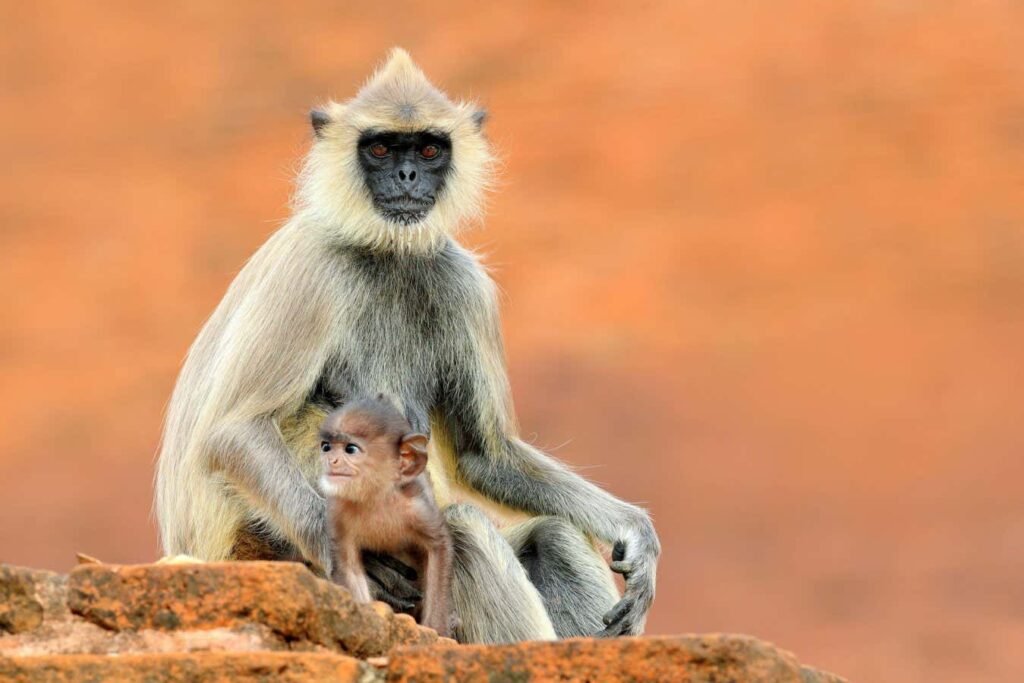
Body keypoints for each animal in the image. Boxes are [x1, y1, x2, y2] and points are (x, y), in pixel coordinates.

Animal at [318, 396, 453, 637]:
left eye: (350, 449)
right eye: (326, 447)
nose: (330, 461)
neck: (375, 498)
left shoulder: (416, 508)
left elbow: (439, 547)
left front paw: (437, 631)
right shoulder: (337, 512)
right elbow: (348, 565)